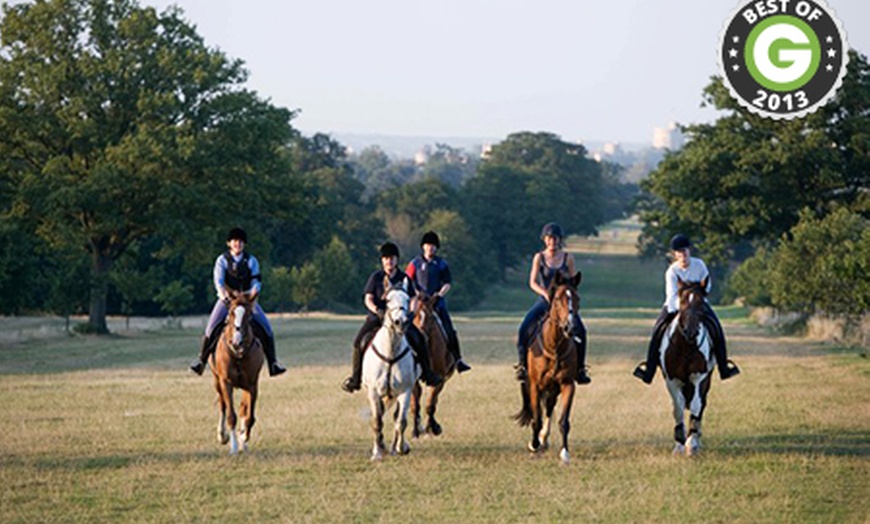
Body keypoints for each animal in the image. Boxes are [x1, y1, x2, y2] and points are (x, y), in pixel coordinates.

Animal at [211, 288, 266, 456]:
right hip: (217, 381)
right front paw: (234, 447)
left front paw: (243, 438)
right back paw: (222, 436)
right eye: (231, 313)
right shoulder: (225, 382)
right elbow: (231, 416)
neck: (238, 354)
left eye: (248, 315)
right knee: (223, 405)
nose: (236, 342)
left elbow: (249, 417)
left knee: (242, 409)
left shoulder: (252, 384)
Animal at [362, 276, 420, 460]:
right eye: (387, 300)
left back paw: (395, 448)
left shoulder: (405, 391)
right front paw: (378, 452)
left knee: (396, 418)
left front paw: (401, 448)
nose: (401, 322)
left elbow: (401, 421)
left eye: (408, 299)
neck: (391, 351)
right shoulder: (373, 392)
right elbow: (377, 421)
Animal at [516, 272, 584, 464]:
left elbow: (563, 421)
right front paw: (534, 445)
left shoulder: (568, 385)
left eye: (577, 298)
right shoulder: (534, 385)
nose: (571, 327)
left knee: (549, 407)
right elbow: (536, 419)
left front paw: (565, 453)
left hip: (554, 388)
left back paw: (544, 439)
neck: (555, 347)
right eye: (558, 299)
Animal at [664, 278, 720, 454]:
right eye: (682, 302)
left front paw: (692, 443)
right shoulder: (672, 380)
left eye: (701, 303)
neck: (686, 346)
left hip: (707, 380)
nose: (690, 331)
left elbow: (696, 406)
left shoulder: (699, 378)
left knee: (701, 404)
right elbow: (678, 408)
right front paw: (679, 444)